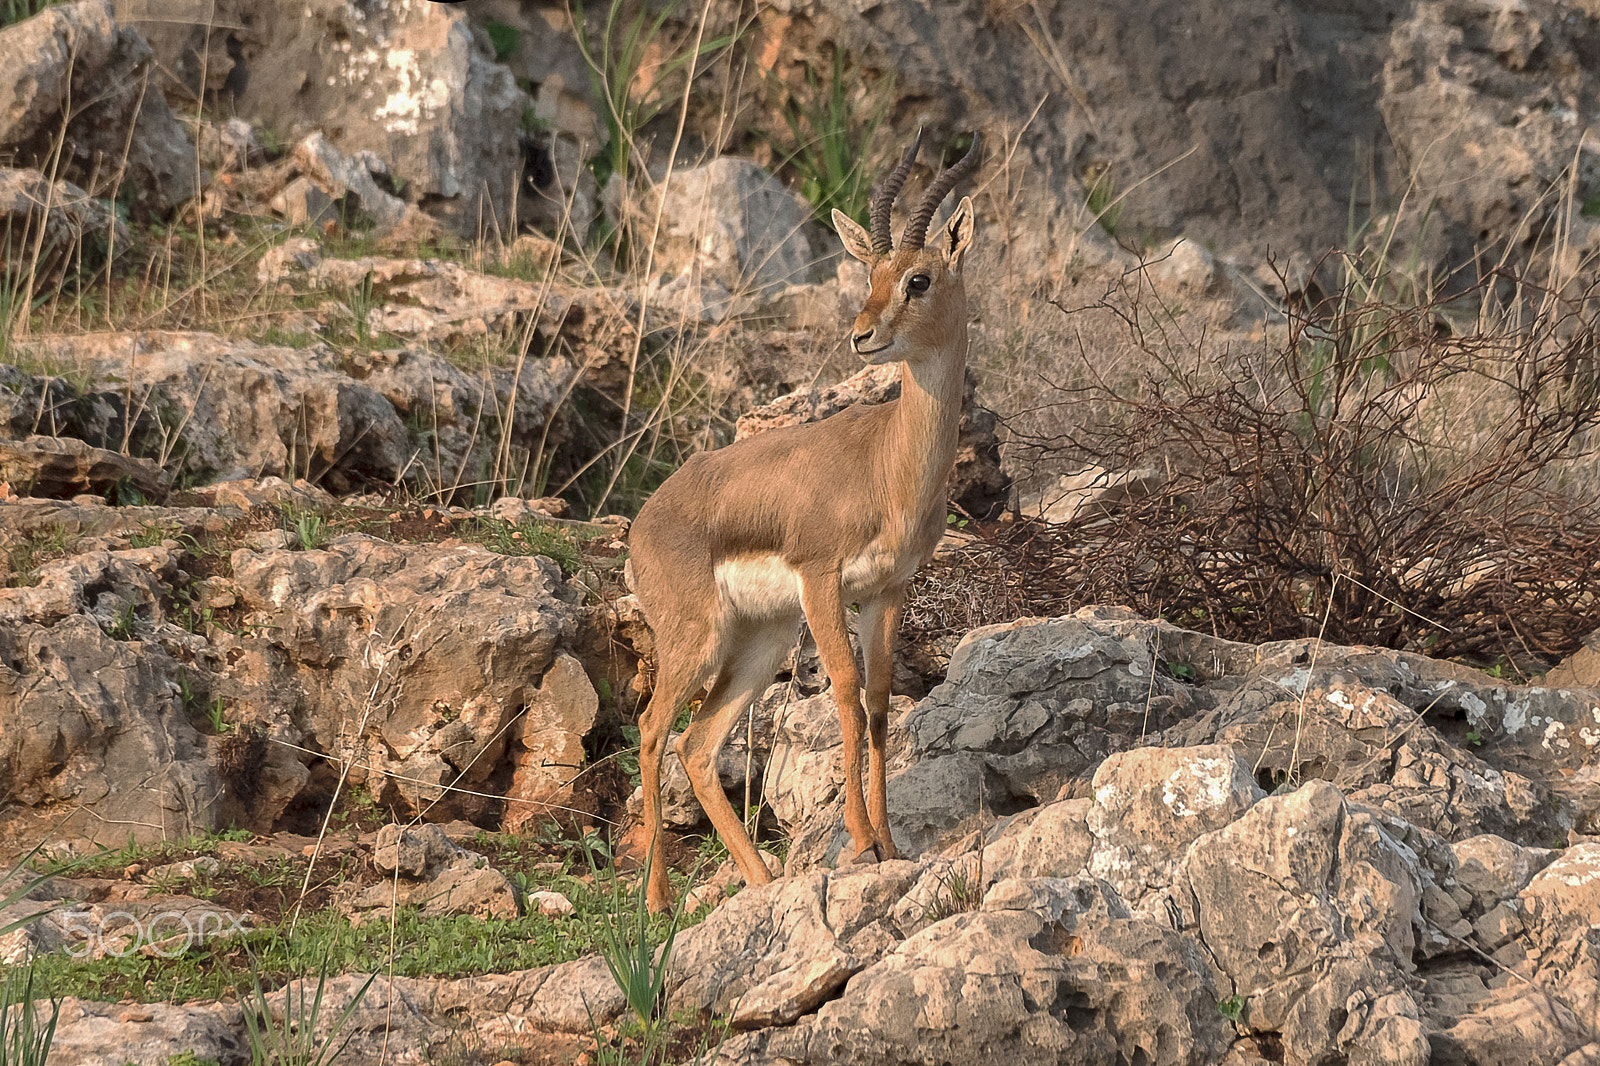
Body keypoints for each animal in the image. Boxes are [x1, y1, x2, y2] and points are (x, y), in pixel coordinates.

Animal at [628, 132, 982, 912]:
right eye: (869, 271)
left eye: (918, 278)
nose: (863, 335)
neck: (888, 463)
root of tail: (645, 517)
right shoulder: (822, 580)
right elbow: (845, 691)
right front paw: (859, 838)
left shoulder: (886, 591)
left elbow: (878, 699)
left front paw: (890, 843)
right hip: (699, 639)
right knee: (650, 727)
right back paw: (658, 899)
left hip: (762, 641)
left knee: (698, 744)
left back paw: (761, 881)